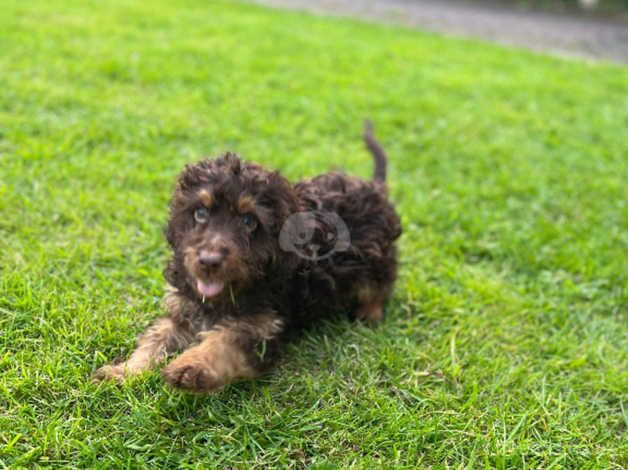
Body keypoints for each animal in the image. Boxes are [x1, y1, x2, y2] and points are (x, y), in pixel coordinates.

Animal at [95, 122, 404, 392]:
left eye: (248, 221)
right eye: (200, 213)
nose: (209, 261)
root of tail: (375, 187)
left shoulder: (262, 327)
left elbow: (225, 342)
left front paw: (192, 366)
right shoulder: (181, 311)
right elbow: (153, 340)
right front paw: (122, 372)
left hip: (375, 257)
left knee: (381, 284)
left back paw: (369, 313)